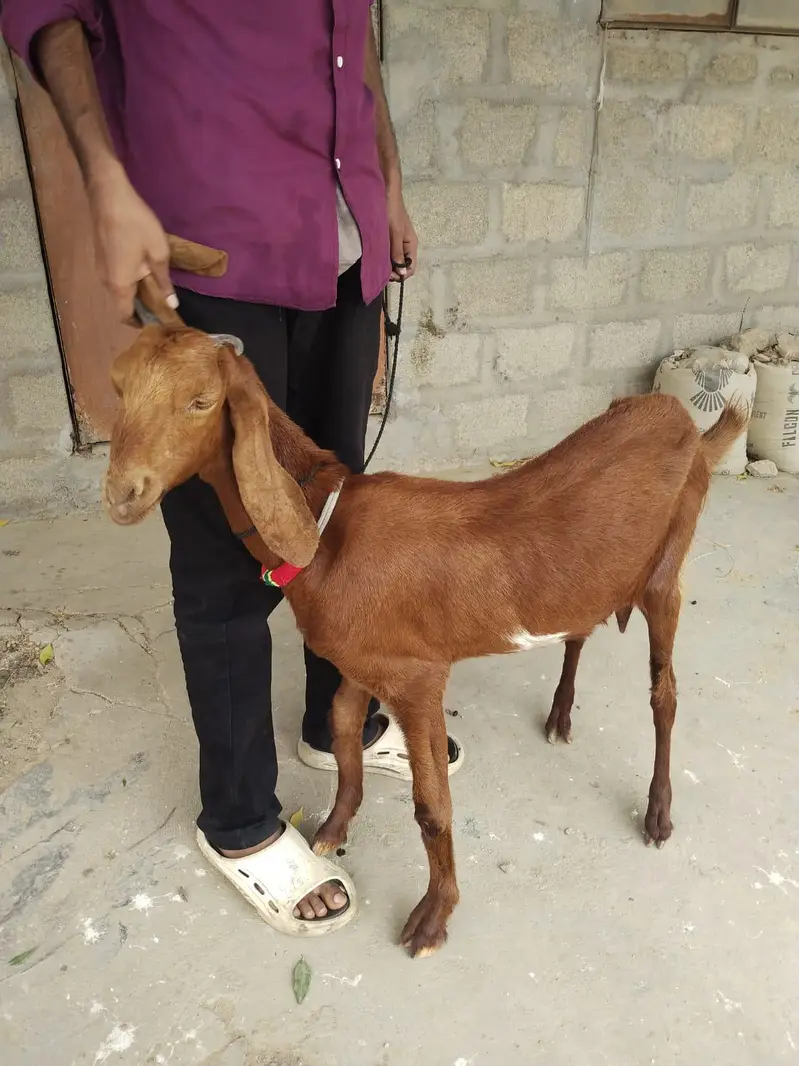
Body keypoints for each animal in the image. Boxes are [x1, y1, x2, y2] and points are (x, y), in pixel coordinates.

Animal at [105, 318, 746, 958]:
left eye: (200, 402)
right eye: (118, 390)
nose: (121, 493)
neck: (325, 526)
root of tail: (682, 421)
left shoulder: (419, 679)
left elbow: (432, 808)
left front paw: (434, 916)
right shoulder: (361, 663)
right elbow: (342, 730)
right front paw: (333, 828)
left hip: (666, 573)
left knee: (665, 694)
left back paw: (658, 813)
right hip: (589, 578)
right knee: (579, 629)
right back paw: (561, 714)